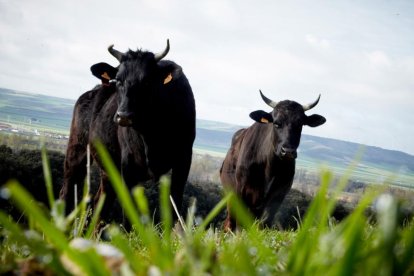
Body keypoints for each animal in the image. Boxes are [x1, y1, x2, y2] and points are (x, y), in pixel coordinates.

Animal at [59, 40, 196, 222]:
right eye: (118, 80)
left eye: (147, 81)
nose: (123, 116)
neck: (153, 133)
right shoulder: (129, 164)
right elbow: (130, 213)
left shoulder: (183, 159)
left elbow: (175, 206)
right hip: (76, 151)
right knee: (67, 191)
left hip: (108, 168)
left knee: (101, 201)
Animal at [222, 91, 326, 231]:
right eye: (276, 123)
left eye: (300, 125)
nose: (288, 151)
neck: (269, 167)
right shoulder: (241, 189)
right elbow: (239, 223)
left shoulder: (279, 193)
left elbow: (265, 222)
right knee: (229, 222)